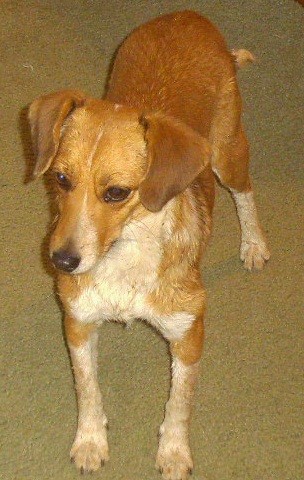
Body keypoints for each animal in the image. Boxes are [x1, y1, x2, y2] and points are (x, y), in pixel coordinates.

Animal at [28, 11, 270, 480]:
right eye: (61, 179)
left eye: (117, 193)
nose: (61, 261)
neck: (123, 259)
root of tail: (187, 15)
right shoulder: (78, 323)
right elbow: (88, 390)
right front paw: (90, 440)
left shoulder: (188, 334)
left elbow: (179, 405)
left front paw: (173, 452)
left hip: (227, 152)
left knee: (245, 191)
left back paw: (253, 243)